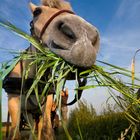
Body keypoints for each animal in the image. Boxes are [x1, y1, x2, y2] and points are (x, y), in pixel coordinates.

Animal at [2, 0, 100, 139]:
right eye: (37, 12)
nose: (84, 38)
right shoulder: (14, 103)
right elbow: (15, 134)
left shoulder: (47, 103)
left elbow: (47, 130)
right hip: (27, 112)